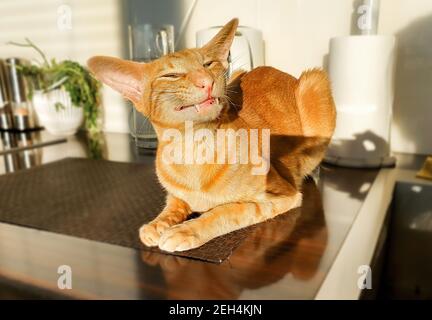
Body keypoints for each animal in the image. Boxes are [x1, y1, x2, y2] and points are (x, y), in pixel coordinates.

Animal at [88, 18, 336, 252]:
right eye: (172, 75)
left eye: (208, 64)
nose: (206, 82)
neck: (192, 151)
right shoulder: (177, 195)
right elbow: (172, 205)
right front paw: (157, 224)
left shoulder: (283, 195)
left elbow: (225, 211)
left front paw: (186, 230)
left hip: (314, 83)